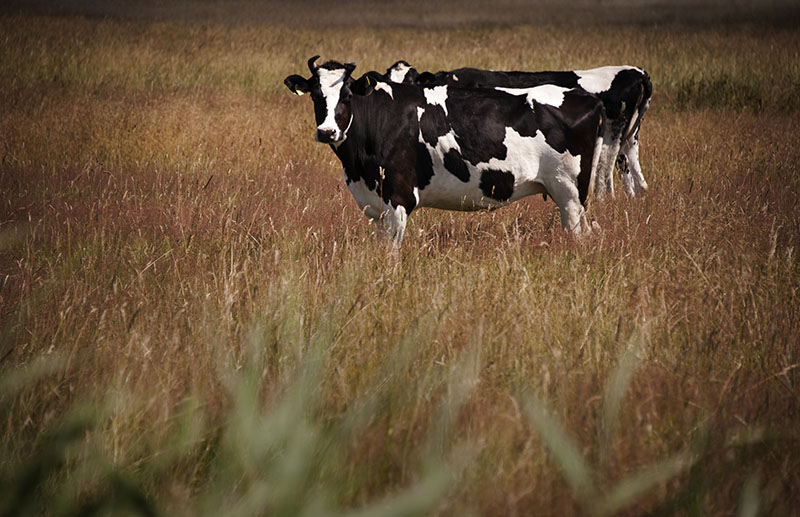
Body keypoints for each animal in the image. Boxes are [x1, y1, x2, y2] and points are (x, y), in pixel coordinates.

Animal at [284, 57, 604, 248]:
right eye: (315, 95)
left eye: (347, 95)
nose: (327, 132)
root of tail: (586, 98)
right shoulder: (374, 204)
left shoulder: (398, 197)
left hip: (570, 192)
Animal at [384, 60, 652, 198]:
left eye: (412, 79)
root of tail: (637, 72)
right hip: (629, 138)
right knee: (633, 174)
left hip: (611, 138)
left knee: (605, 173)